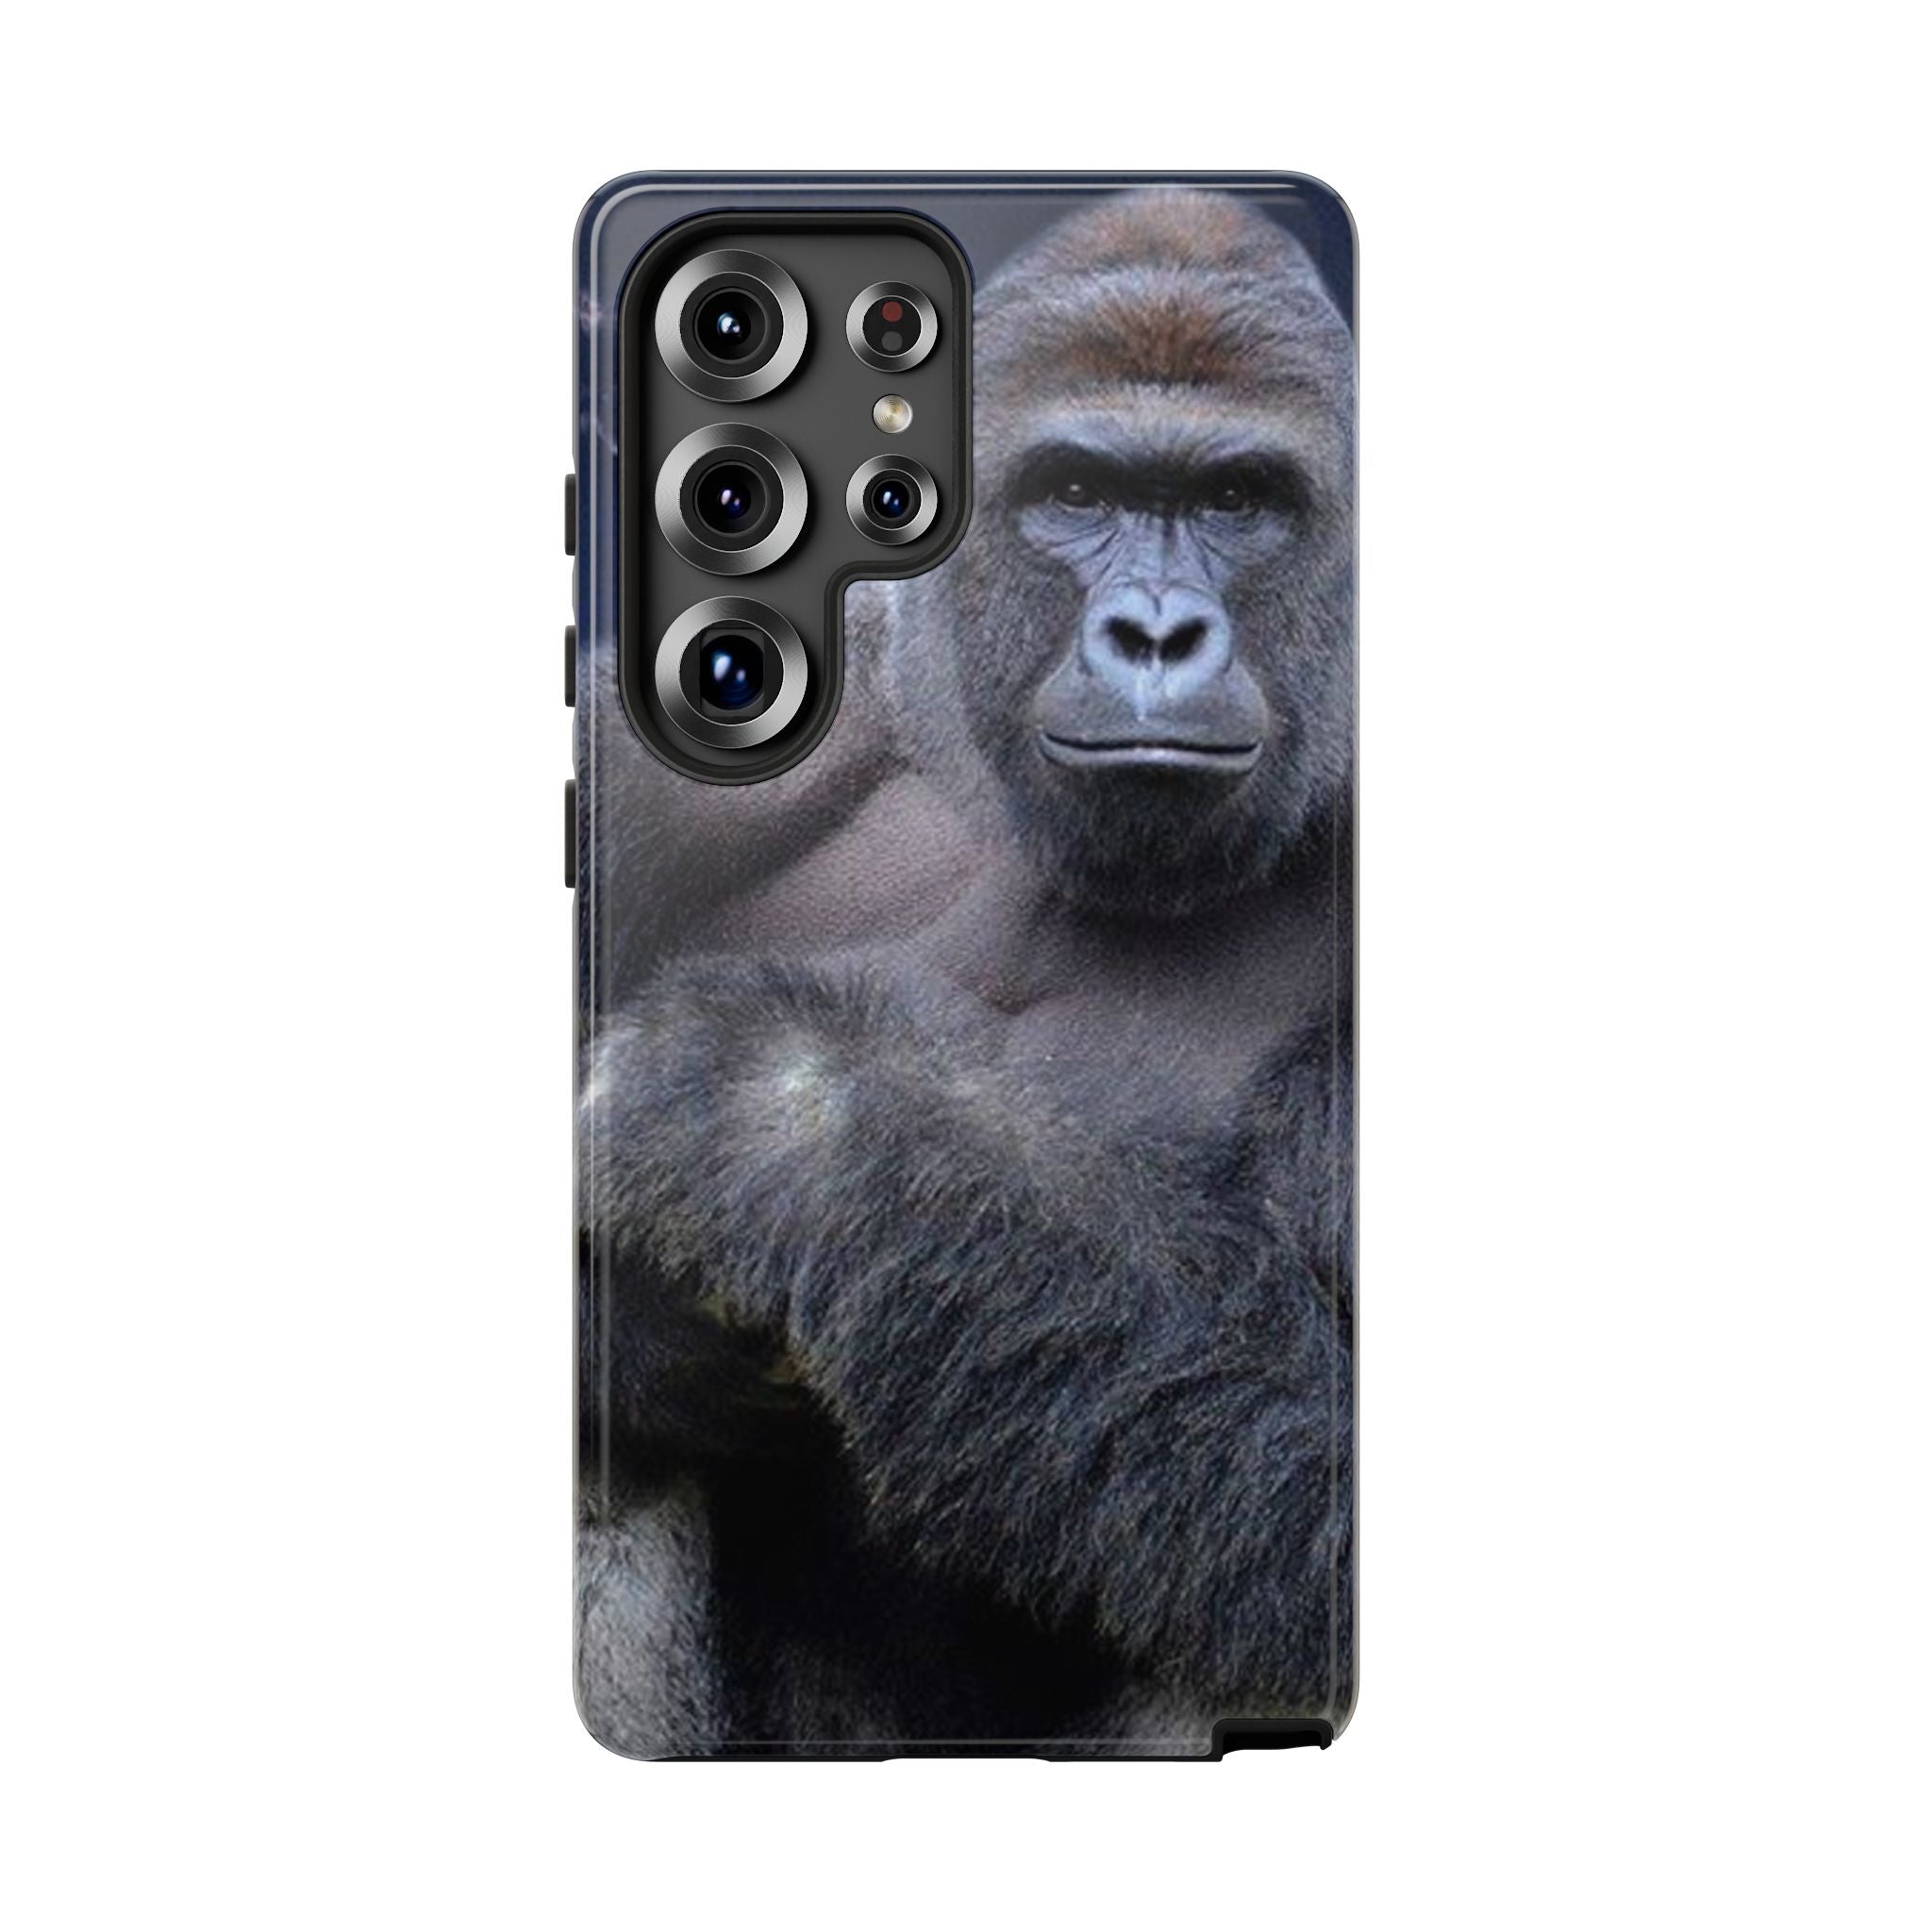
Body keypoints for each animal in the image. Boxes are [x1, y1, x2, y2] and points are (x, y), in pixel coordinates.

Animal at [578, 188, 1355, 1754]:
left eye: (1239, 505)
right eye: (1078, 493)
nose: (1157, 634)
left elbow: (1326, 1499)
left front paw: (775, 1115)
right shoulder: (647, 770)